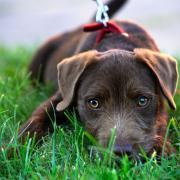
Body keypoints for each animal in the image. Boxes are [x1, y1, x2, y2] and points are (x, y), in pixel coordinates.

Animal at [18, 0, 179, 156]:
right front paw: (16, 149)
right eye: (94, 103)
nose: (121, 152)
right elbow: (36, 120)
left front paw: (164, 150)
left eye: (142, 101)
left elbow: (160, 123)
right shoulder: (61, 98)